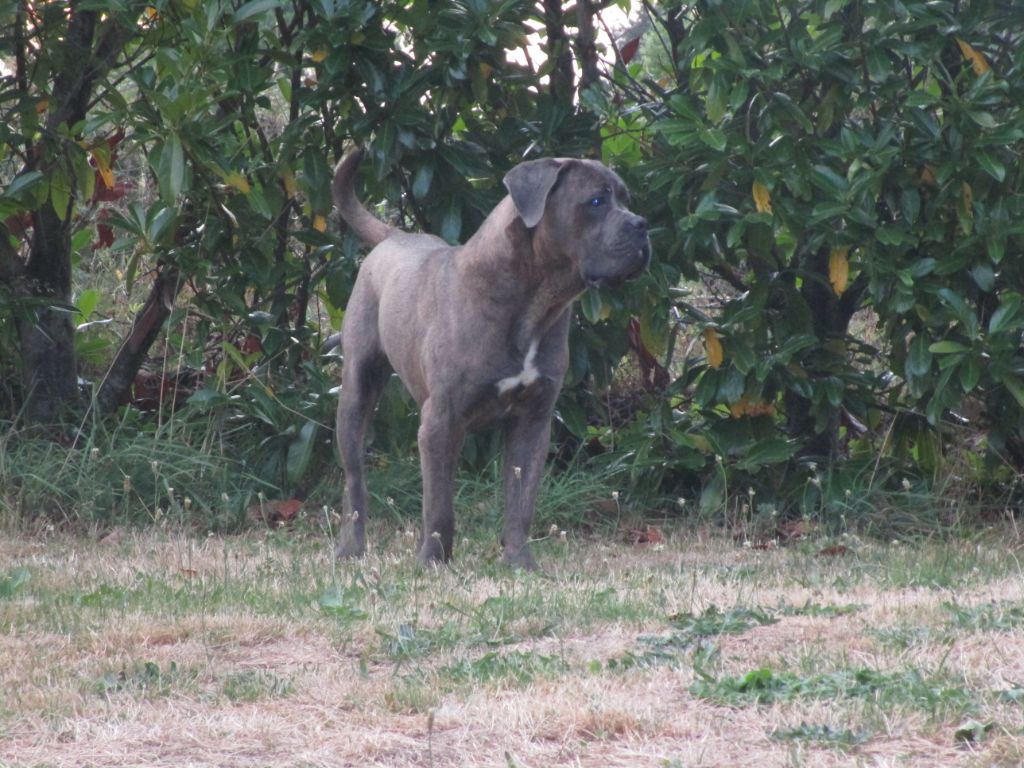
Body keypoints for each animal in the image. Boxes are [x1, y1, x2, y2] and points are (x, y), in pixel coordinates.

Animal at [327, 147, 647, 569]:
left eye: (626, 198)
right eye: (596, 201)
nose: (643, 224)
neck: (534, 301)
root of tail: (395, 235)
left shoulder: (533, 421)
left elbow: (520, 502)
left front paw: (520, 563)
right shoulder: (441, 420)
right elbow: (439, 507)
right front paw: (431, 562)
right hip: (357, 390)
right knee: (354, 477)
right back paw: (351, 547)